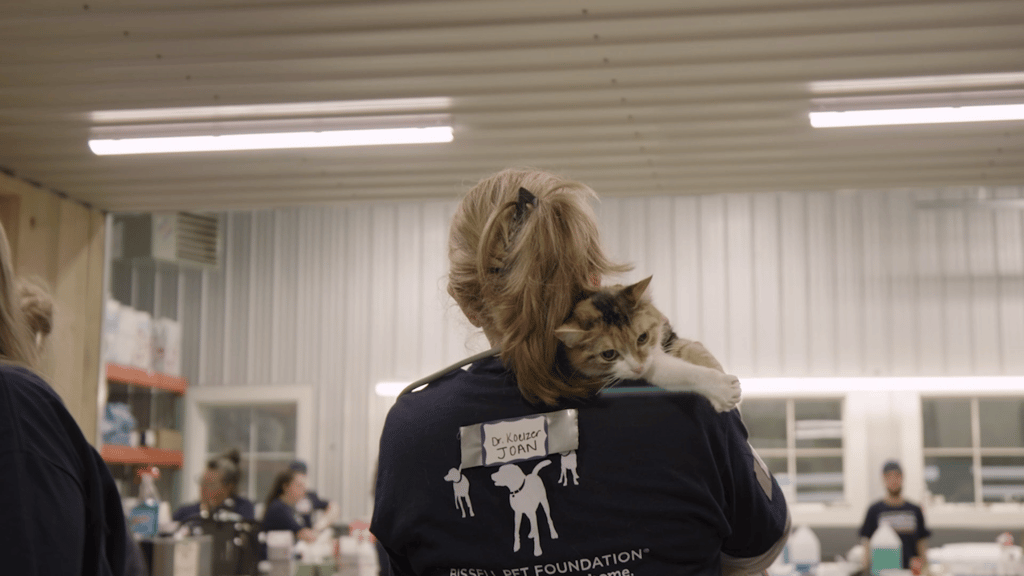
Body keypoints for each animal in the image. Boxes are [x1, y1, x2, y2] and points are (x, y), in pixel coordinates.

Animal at [554, 276, 741, 412]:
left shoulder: (668, 338)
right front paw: (723, 391)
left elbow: (695, 350)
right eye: (608, 354)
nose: (638, 368)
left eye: (642, 337)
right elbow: (685, 372)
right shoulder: (650, 365)